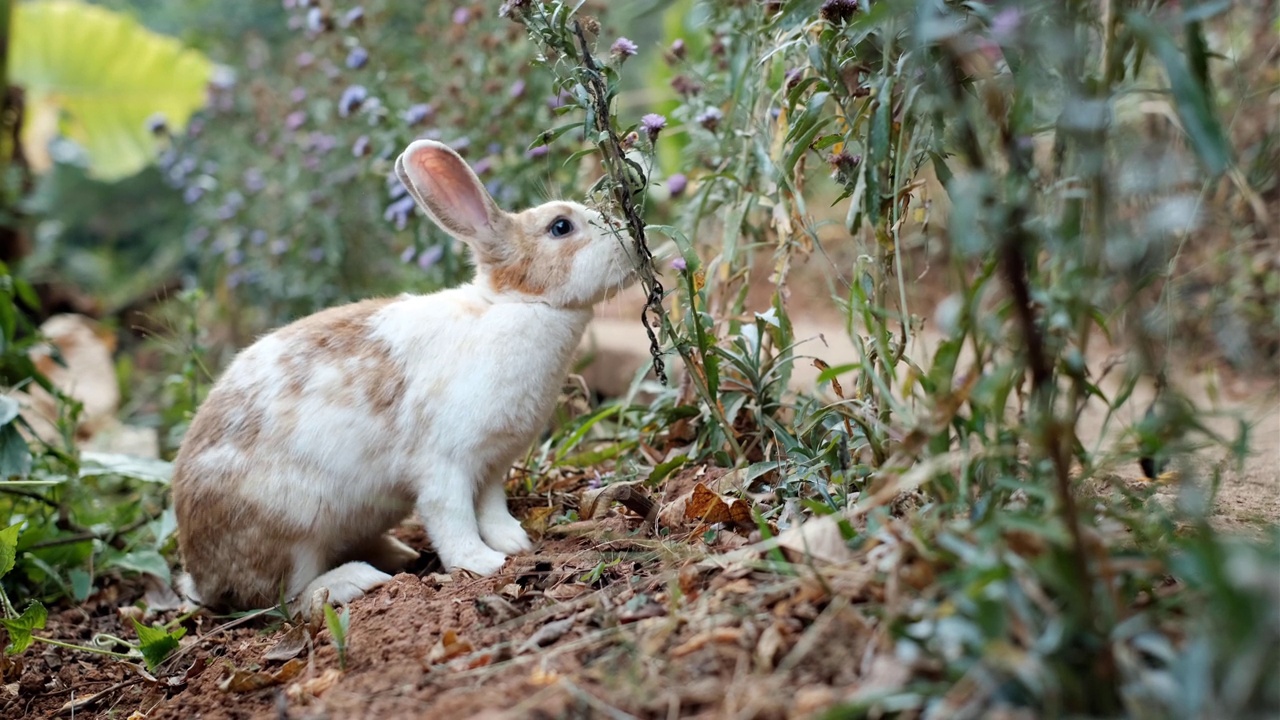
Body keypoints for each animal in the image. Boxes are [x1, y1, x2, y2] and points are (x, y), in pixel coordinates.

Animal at [172, 139, 640, 609]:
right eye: (561, 227)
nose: (634, 242)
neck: (515, 305)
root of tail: (202, 575)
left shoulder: (493, 465)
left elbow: (491, 508)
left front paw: (514, 542)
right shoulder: (444, 467)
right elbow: (453, 518)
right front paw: (482, 563)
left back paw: (398, 553)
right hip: (292, 527)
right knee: (288, 596)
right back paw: (356, 579)